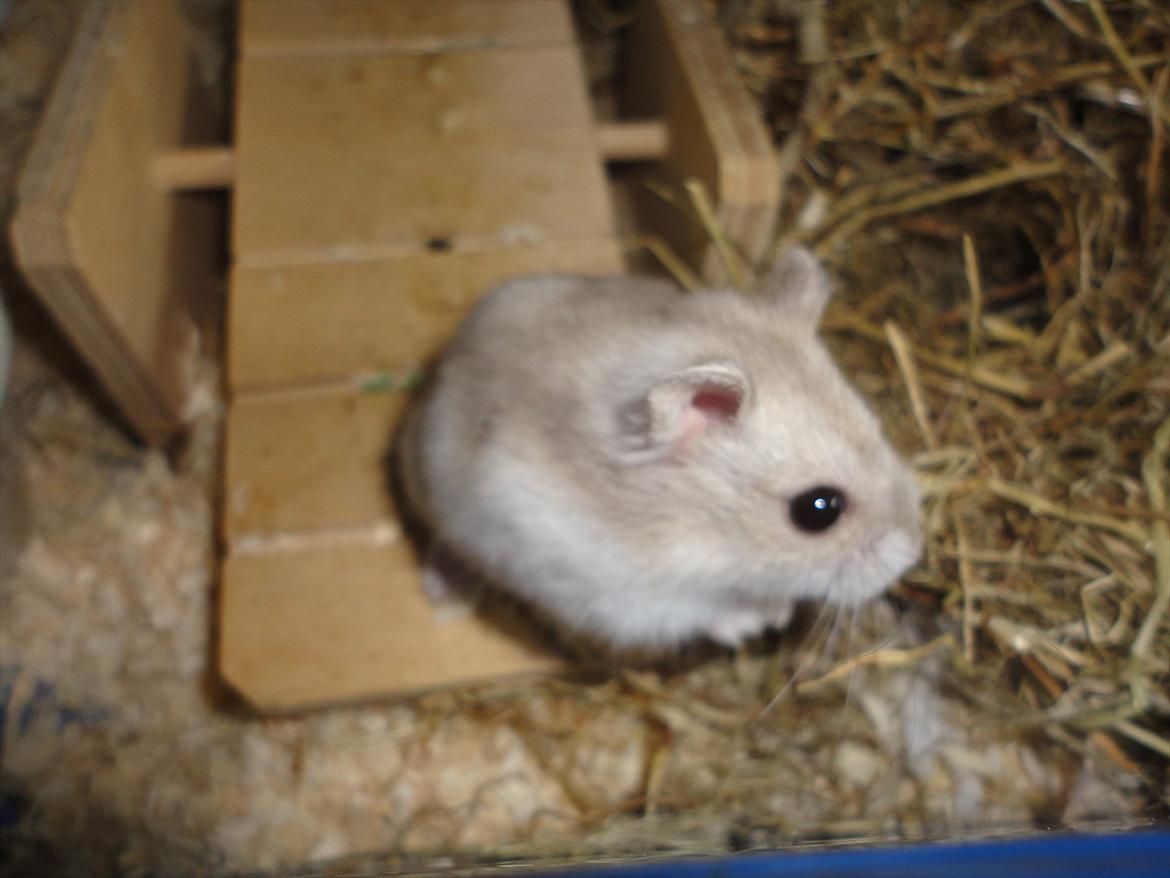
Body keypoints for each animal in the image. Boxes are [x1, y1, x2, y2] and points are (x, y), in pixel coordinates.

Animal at [396, 248, 922, 653]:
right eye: (817, 510)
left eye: (879, 430)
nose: (912, 555)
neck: (702, 532)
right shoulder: (624, 594)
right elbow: (701, 610)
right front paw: (760, 621)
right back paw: (441, 590)